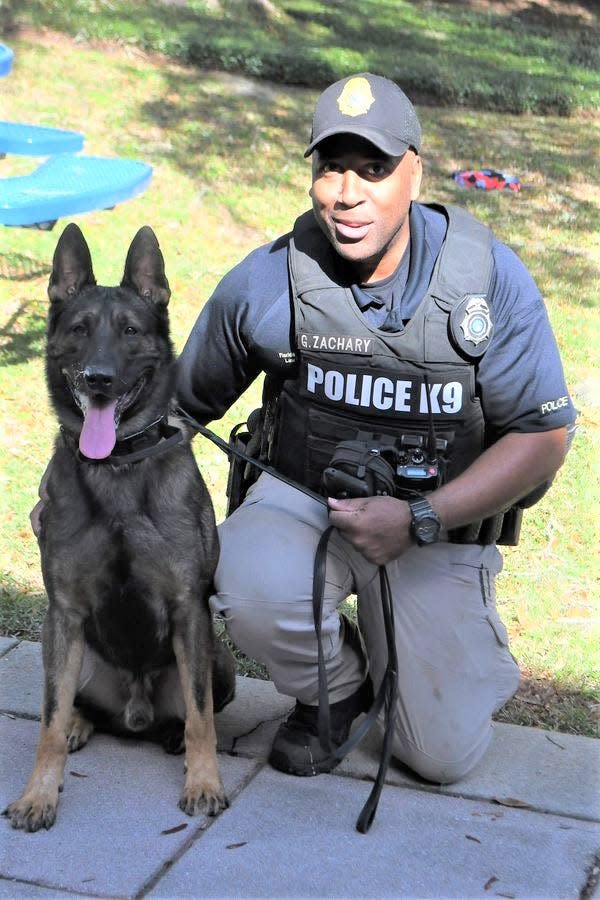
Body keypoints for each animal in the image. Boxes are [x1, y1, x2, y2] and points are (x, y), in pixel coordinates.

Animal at [4, 223, 234, 828]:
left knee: (195, 710)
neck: (116, 469)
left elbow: (201, 717)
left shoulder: (188, 610)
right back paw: (82, 725)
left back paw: (174, 739)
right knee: (70, 705)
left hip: (217, 659)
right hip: (65, 648)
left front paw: (204, 782)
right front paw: (39, 793)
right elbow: (48, 720)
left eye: (130, 331)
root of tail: (135, 712)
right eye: (80, 330)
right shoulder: (63, 613)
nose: (99, 380)